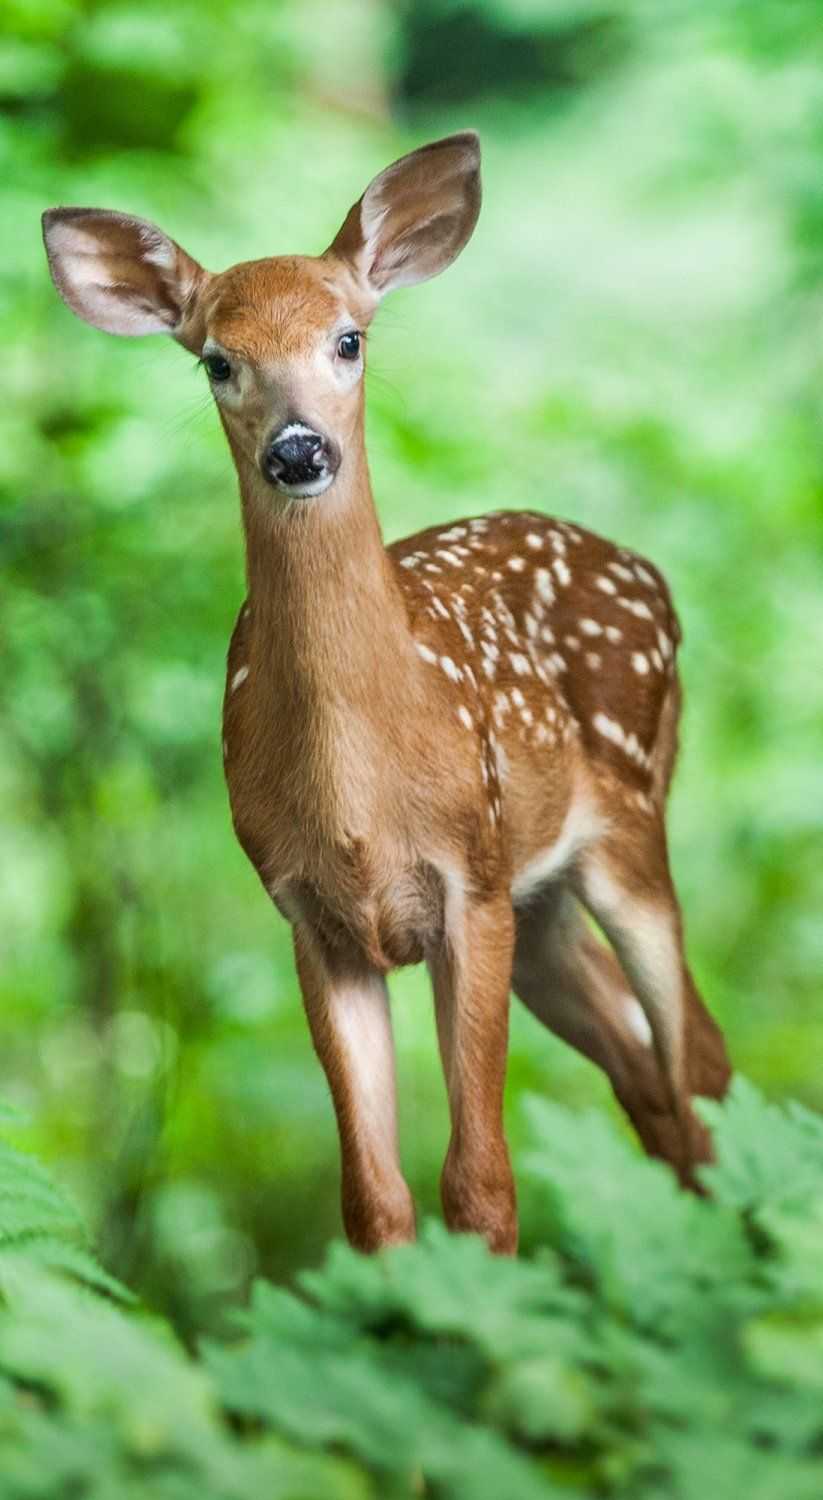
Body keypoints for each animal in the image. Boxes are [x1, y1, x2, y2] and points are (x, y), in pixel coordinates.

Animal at [42, 131, 731, 1255]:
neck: (360, 794)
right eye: (216, 360)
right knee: (645, 1073)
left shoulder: (469, 881)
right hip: (542, 901)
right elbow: (372, 1199)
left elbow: (480, 1183)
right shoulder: (310, 916)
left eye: (349, 339)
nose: (297, 450)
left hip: (626, 822)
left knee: (698, 1061)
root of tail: (645, 571)